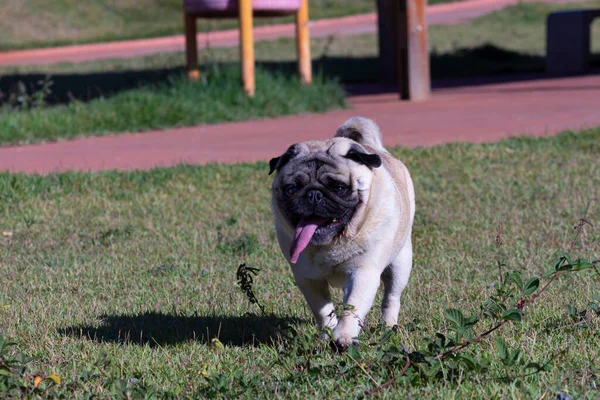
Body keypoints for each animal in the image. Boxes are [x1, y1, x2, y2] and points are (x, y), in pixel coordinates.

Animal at [270, 115, 414, 346]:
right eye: (292, 189)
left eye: (338, 188)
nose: (313, 195)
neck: (332, 242)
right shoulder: (308, 278)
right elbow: (324, 311)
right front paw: (327, 333)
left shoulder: (363, 272)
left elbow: (351, 308)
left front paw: (343, 337)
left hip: (400, 264)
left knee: (391, 298)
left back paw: (388, 327)